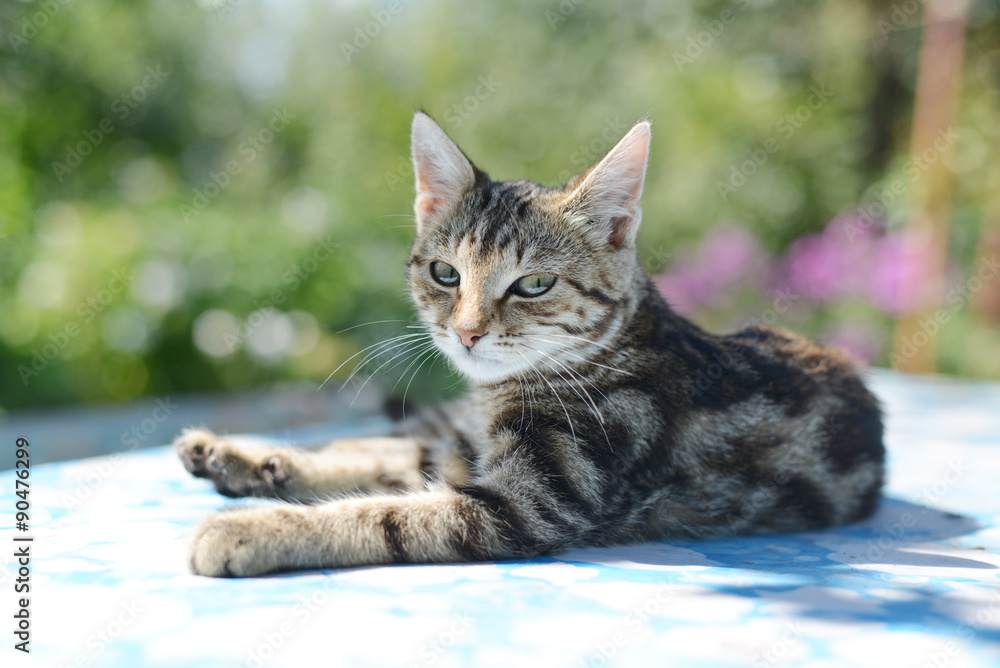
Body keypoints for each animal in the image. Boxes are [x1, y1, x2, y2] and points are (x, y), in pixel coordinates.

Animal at [174, 112, 884, 576]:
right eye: (446, 273)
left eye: (534, 284)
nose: (466, 332)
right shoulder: (480, 458)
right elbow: (378, 466)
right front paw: (257, 469)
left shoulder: (530, 504)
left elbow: (383, 516)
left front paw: (251, 529)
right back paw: (238, 454)